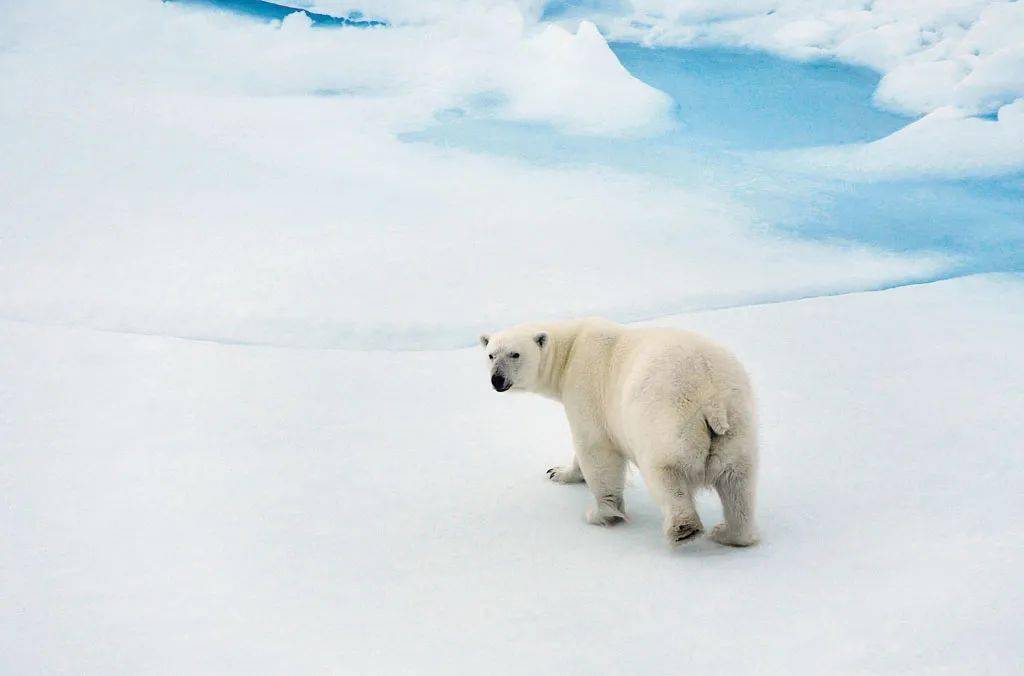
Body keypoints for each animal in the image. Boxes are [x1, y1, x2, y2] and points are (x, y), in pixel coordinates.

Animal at [480, 318, 759, 547]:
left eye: (515, 354)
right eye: (491, 355)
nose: (497, 380)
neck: (570, 351)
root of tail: (711, 398)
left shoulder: (586, 390)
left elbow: (595, 449)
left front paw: (601, 513)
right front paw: (558, 472)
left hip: (669, 422)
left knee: (666, 472)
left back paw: (684, 529)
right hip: (737, 423)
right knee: (738, 480)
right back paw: (729, 533)